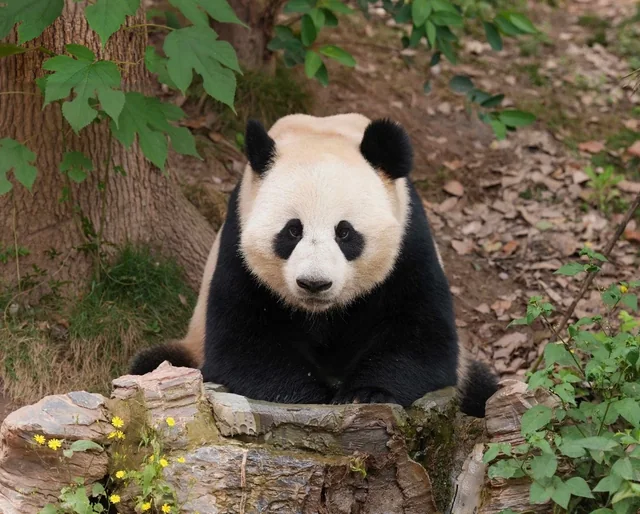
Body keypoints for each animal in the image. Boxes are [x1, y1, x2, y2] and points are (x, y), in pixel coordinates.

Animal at [130, 113, 498, 417]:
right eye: (293, 230)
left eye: (345, 232)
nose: (314, 284)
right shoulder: (236, 242)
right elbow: (242, 343)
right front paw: (313, 399)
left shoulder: (410, 241)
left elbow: (423, 339)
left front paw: (362, 395)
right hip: (189, 348)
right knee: (151, 364)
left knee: (482, 389)